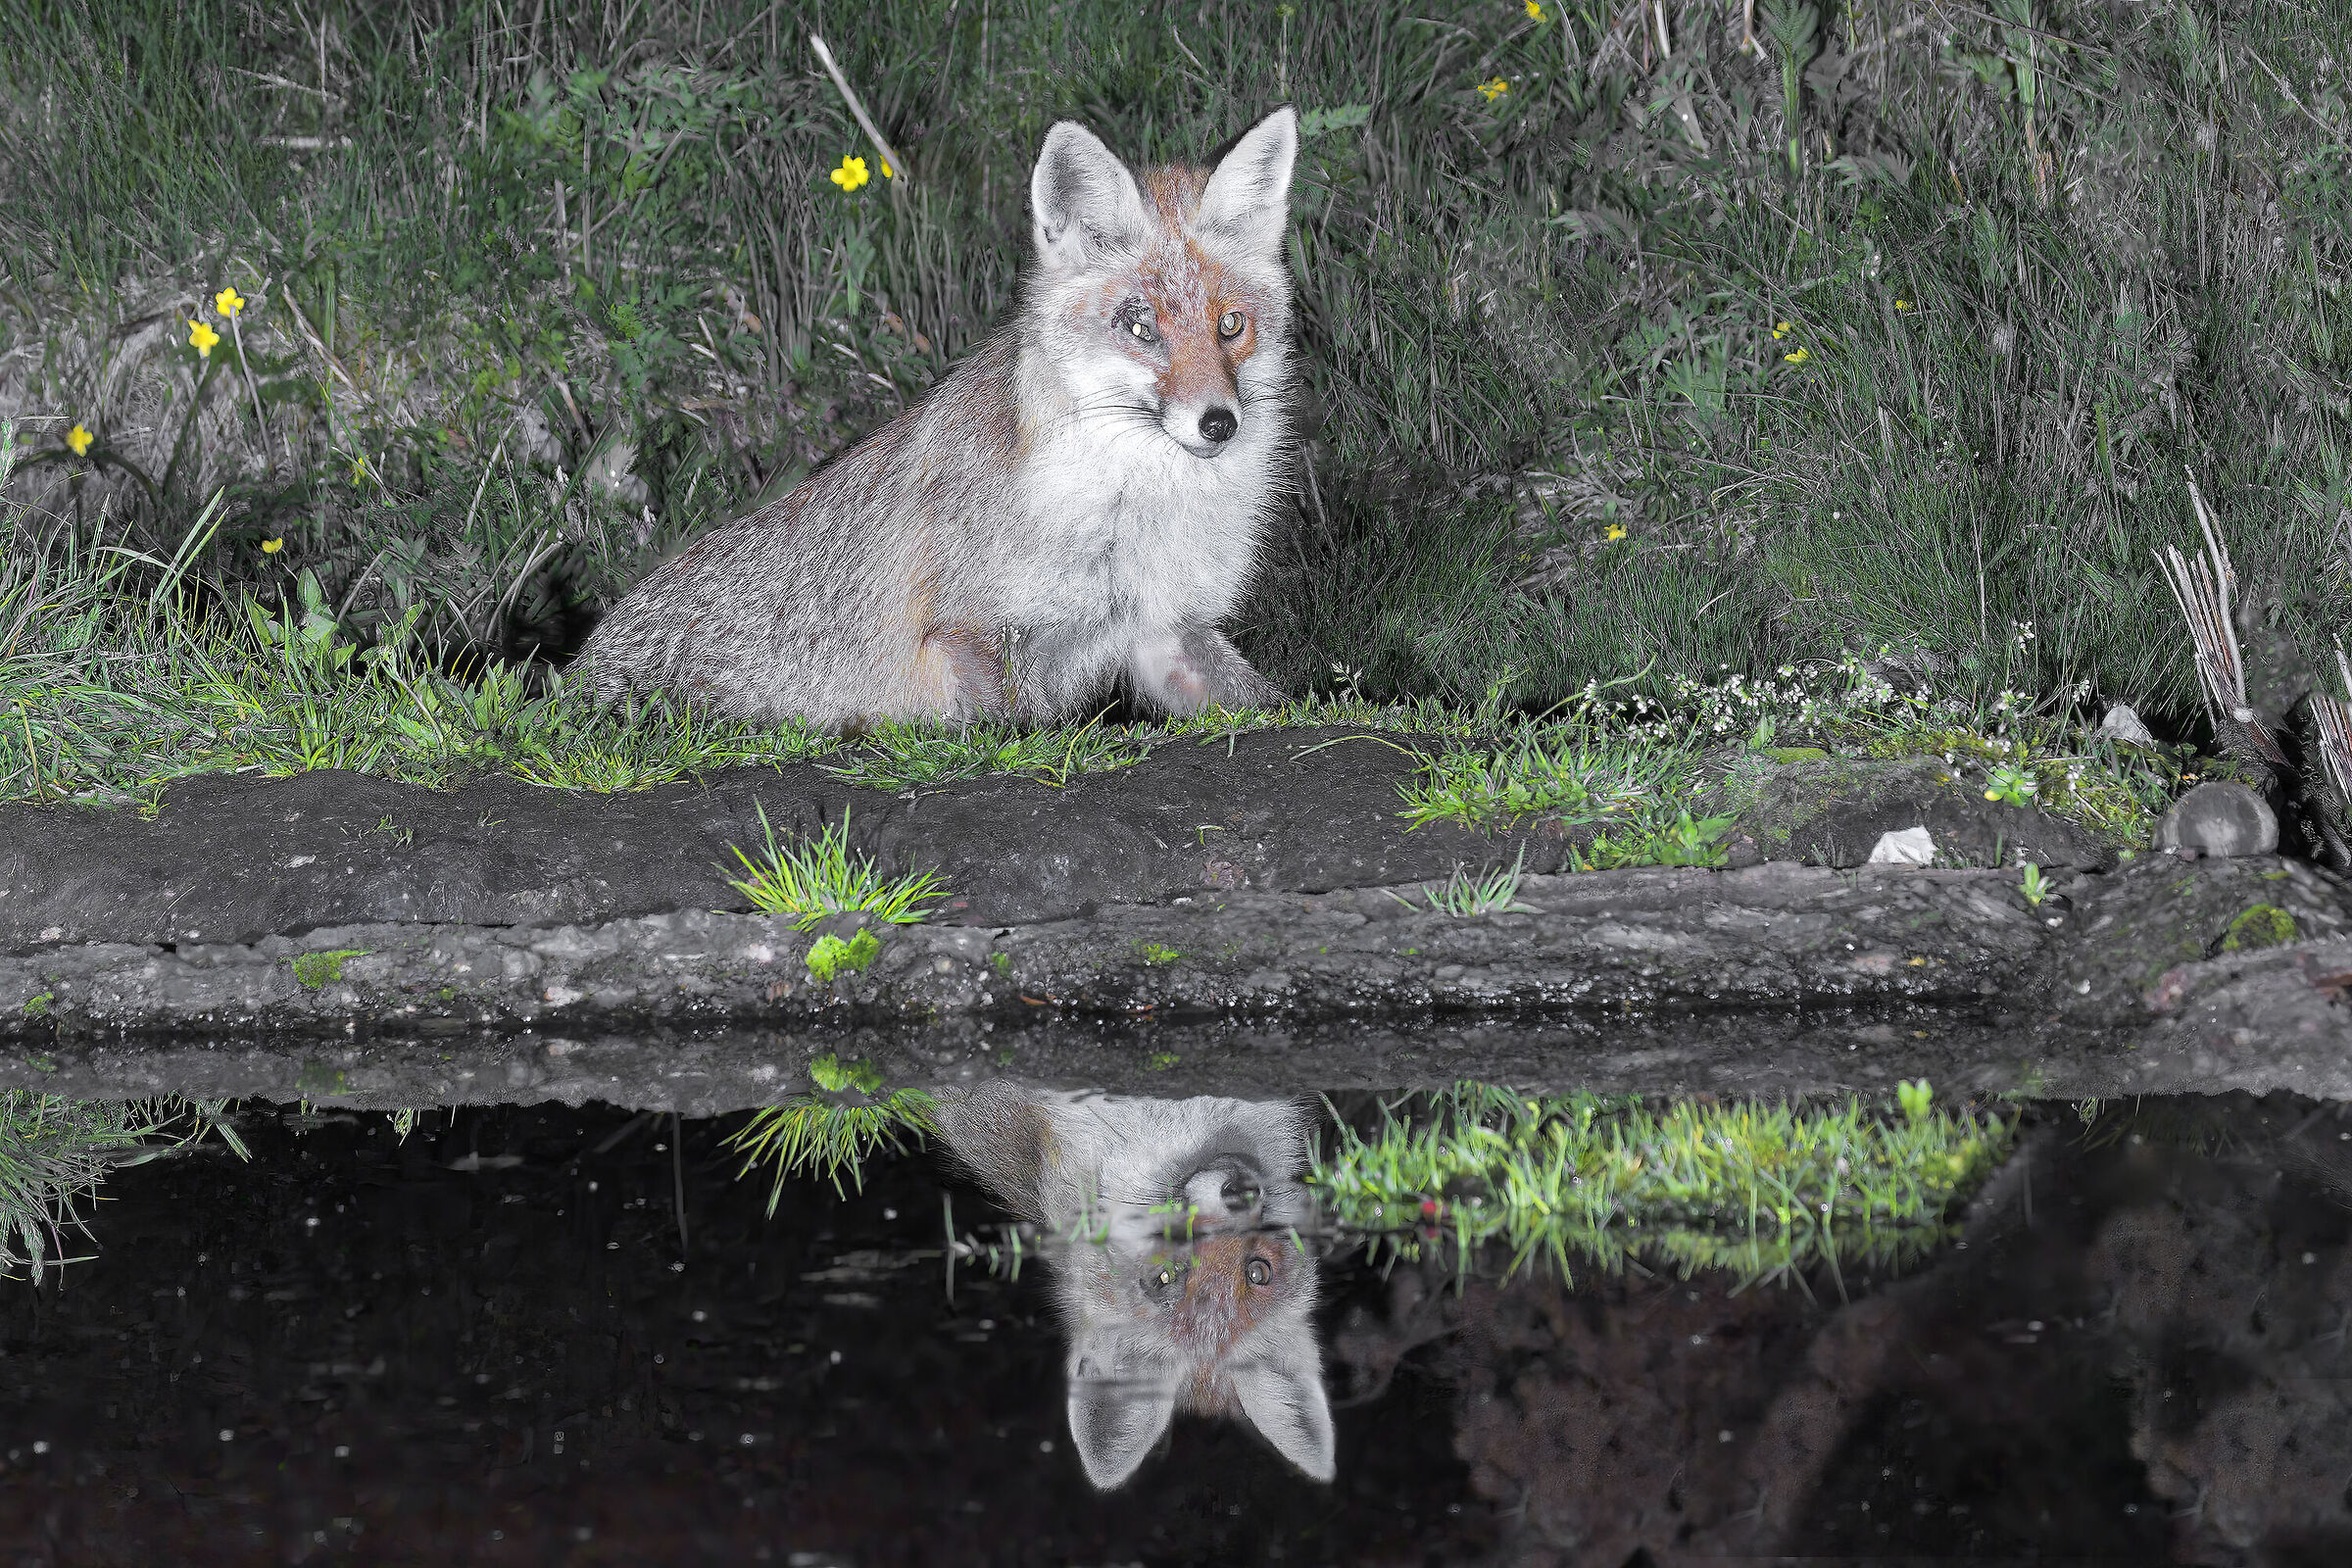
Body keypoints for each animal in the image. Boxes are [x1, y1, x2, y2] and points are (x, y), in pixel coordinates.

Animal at [580, 108, 1301, 730]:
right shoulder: (968, 637)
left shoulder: (1163, 633)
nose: (1218, 423)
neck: (1132, 518)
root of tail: (574, 673)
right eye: (1141, 328)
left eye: (1230, 325)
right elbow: (1016, 725)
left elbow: (1272, 703)